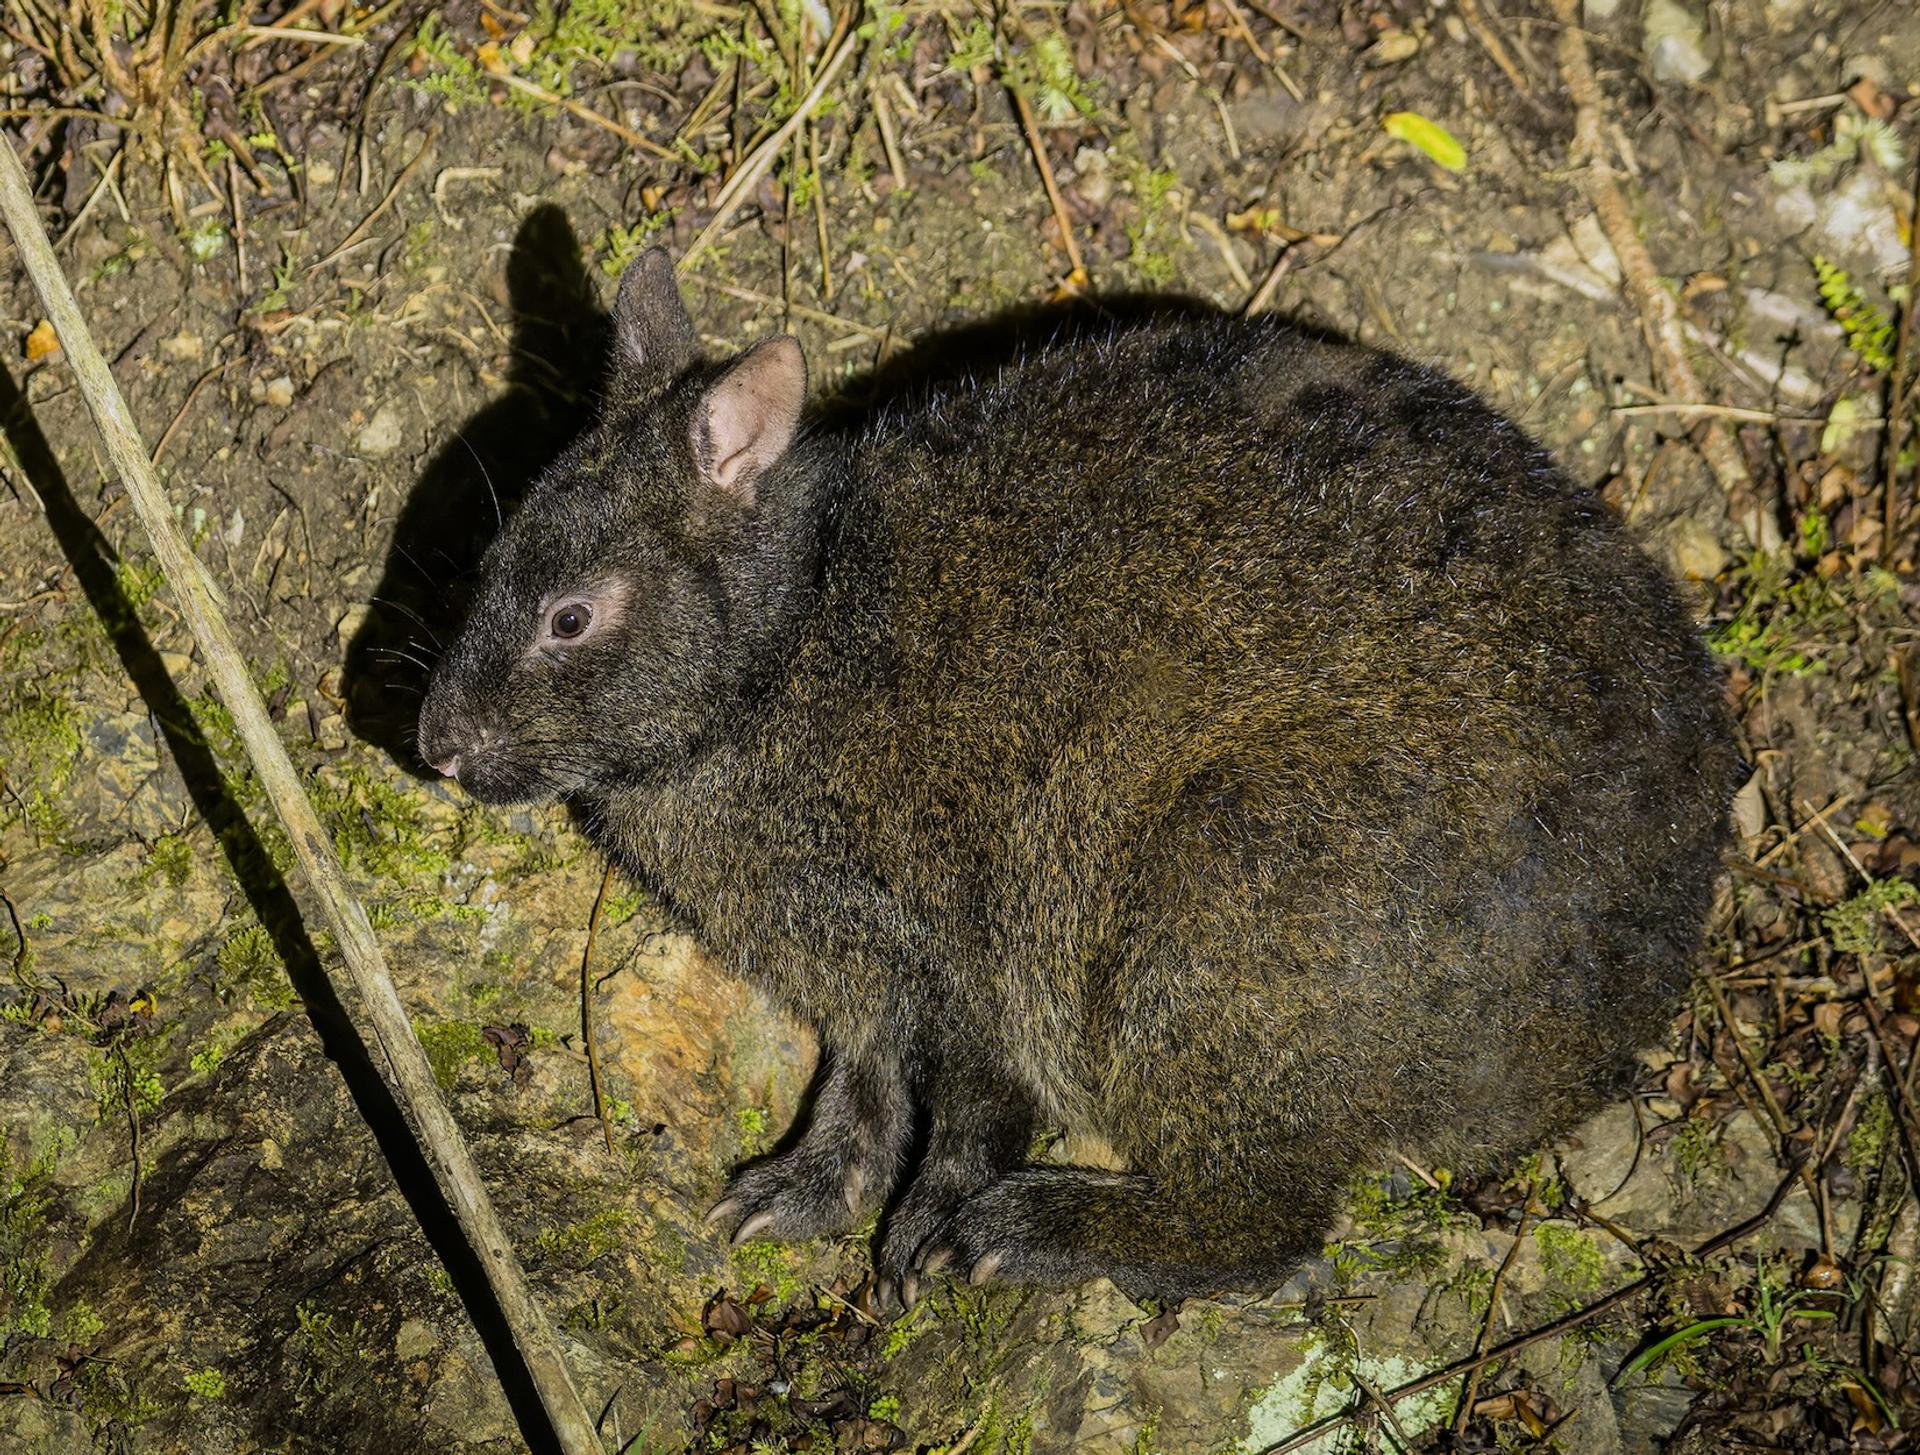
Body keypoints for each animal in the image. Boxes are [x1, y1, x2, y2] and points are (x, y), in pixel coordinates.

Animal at [416, 248, 1737, 1302]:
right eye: (490, 553)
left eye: (573, 618)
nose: (435, 742)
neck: (787, 647)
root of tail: (1628, 1006)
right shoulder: (868, 981)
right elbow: (862, 1097)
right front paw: (789, 1199)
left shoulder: (972, 957)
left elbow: (964, 1115)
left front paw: (916, 1249)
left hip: (1232, 903)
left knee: (1268, 1227)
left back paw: (1024, 1231)